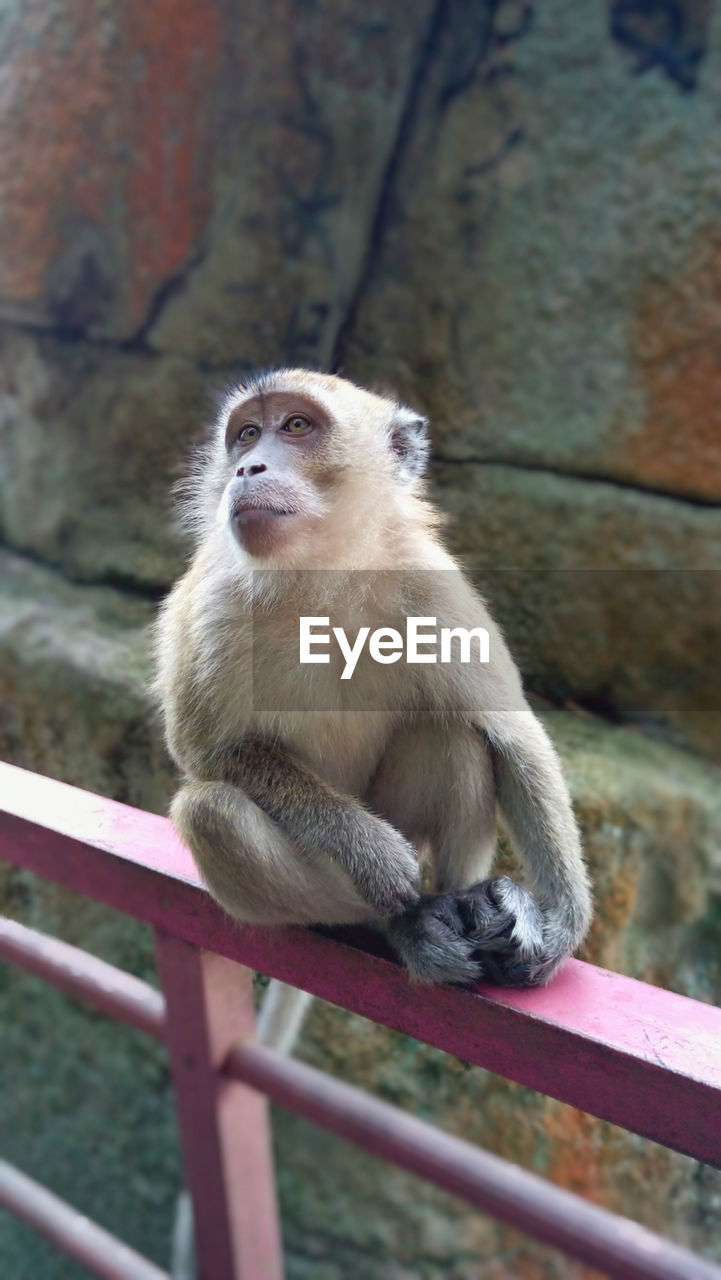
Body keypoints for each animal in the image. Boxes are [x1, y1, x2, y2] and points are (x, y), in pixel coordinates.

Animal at [152, 366, 591, 993]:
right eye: (247, 434)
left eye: (297, 426)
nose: (247, 468)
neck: (322, 575)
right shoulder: (216, 601)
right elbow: (207, 751)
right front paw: (371, 851)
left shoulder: (431, 585)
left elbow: (510, 734)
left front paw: (563, 926)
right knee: (213, 813)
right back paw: (404, 922)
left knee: (452, 735)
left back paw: (459, 901)